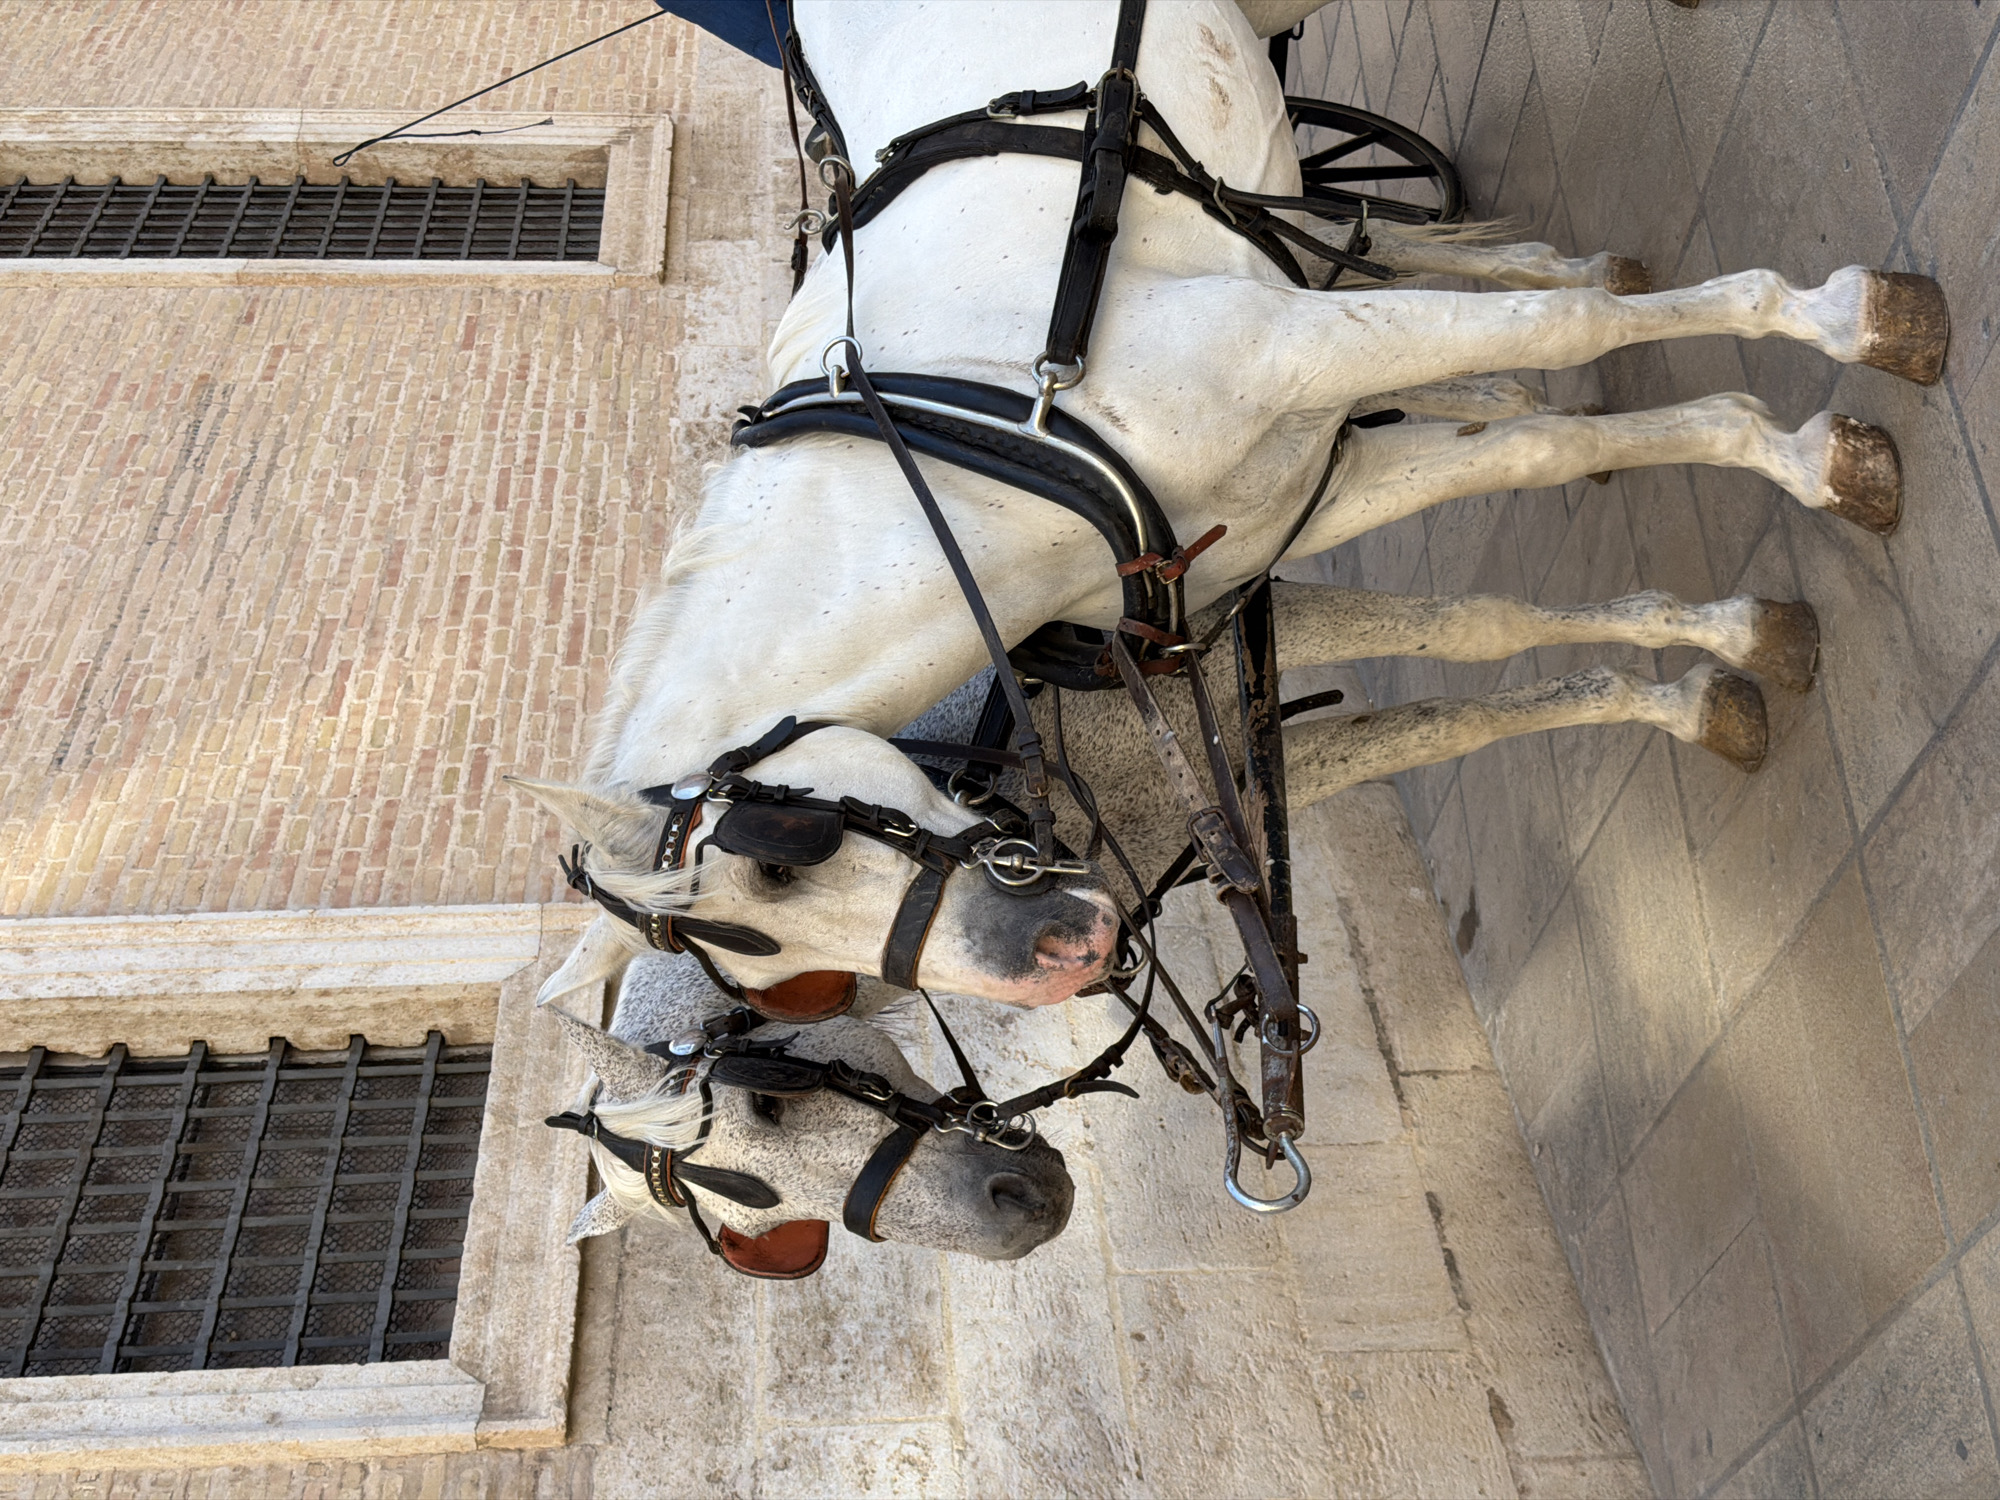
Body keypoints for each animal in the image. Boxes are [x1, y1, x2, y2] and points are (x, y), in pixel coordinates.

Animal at [512, 0, 1944, 1022]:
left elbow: (1570, 337)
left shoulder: (1289, 350)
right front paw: (1725, 646)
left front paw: (1836, 353)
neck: (972, 444)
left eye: (779, 859)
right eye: (772, 972)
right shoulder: (1299, 485)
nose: (1061, 952)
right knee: (1362, 236)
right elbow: (1500, 545)